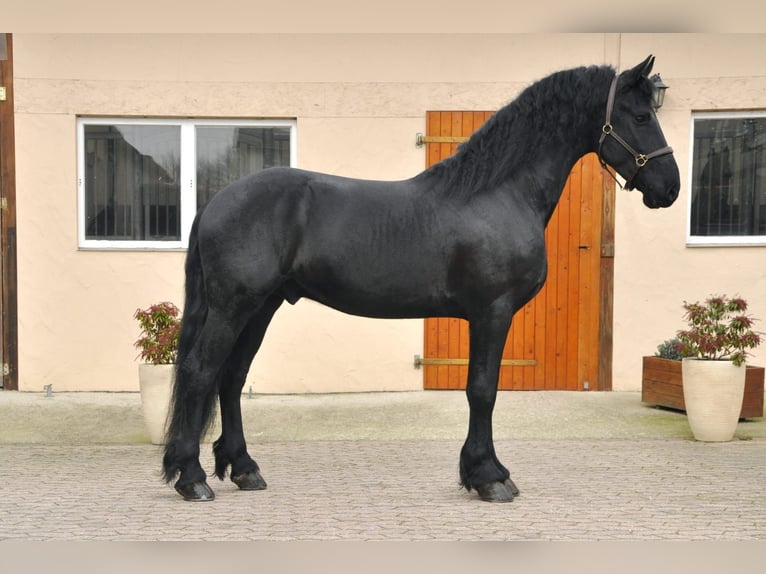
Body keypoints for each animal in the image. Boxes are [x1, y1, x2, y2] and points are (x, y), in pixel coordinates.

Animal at [162, 55, 680, 503]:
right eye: (639, 116)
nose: (671, 187)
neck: (498, 192)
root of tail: (216, 200)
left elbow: (481, 391)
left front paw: (483, 473)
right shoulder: (492, 312)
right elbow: (482, 390)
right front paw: (488, 477)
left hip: (261, 306)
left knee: (231, 378)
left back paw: (244, 469)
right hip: (234, 306)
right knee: (201, 371)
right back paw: (192, 478)